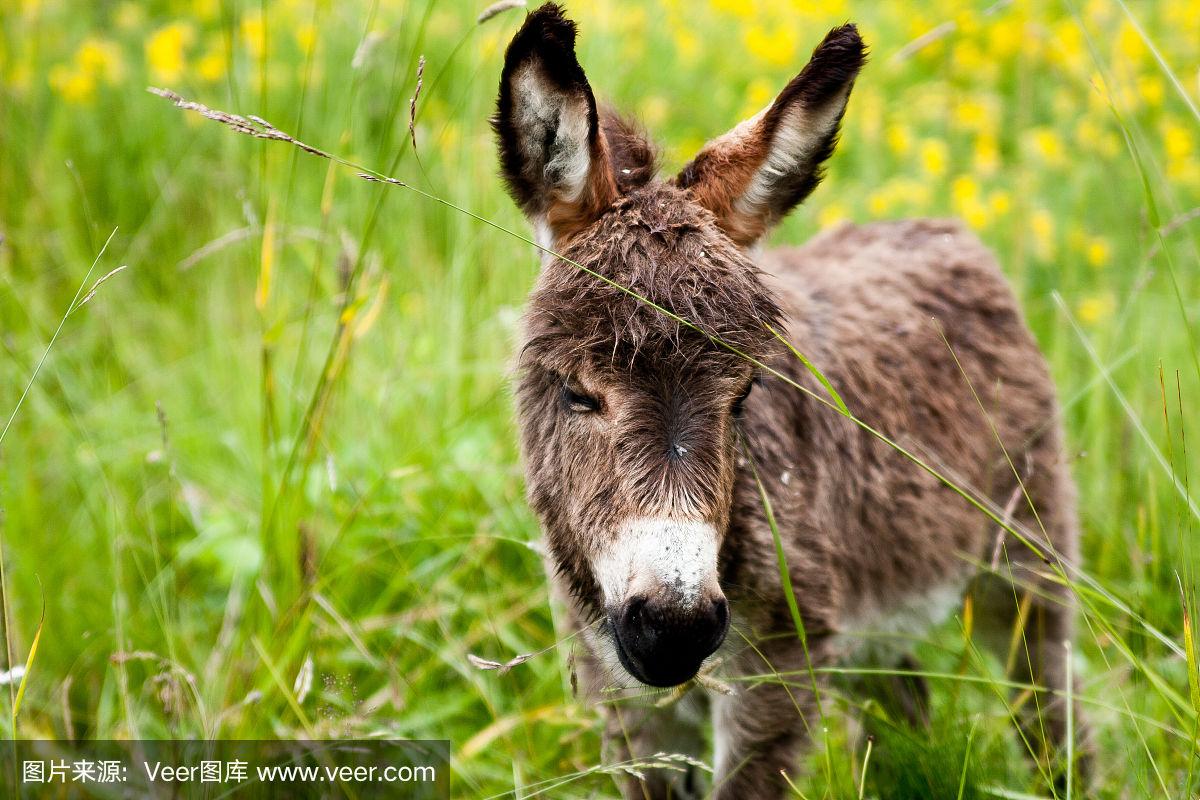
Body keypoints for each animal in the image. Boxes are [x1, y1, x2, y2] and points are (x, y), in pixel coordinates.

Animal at [492, 7, 1084, 800]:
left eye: (744, 394)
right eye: (577, 393)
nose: (676, 632)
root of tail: (937, 230)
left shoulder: (780, 660)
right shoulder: (615, 682)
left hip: (1025, 557)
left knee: (1051, 707)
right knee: (903, 709)